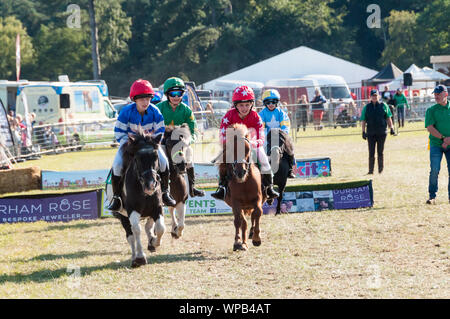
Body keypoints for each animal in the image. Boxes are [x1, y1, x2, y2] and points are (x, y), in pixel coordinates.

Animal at [110, 131, 165, 268]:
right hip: (123, 217)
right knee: (131, 236)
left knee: (148, 226)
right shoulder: (132, 210)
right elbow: (136, 231)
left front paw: (154, 242)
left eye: (156, 156)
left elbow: (161, 228)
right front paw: (140, 258)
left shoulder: (157, 208)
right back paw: (134, 258)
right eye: (137, 158)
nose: (150, 185)